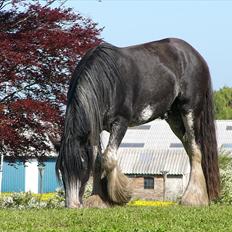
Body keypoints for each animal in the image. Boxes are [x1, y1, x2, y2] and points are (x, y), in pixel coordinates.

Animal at [55, 37, 219, 208]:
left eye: (81, 165)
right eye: (60, 169)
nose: (72, 205)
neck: (107, 81)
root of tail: (195, 55)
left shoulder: (121, 122)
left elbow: (108, 158)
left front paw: (120, 195)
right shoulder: (94, 128)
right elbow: (97, 161)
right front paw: (98, 199)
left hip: (189, 111)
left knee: (195, 150)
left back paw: (193, 198)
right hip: (174, 118)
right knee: (189, 148)